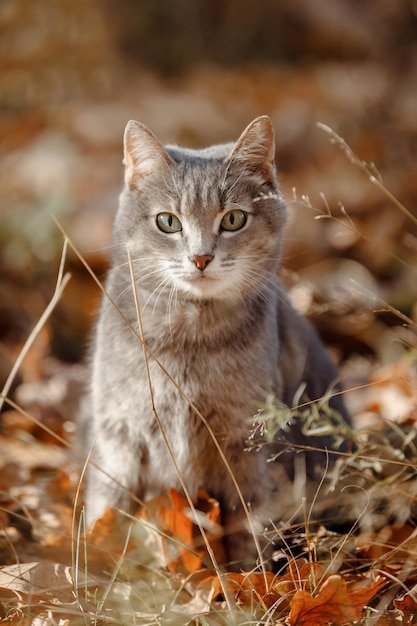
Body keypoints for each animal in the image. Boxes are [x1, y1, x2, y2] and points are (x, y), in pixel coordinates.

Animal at [83, 116, 348, 564]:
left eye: (233, 219)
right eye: (168, 222)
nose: (201, 257)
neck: (188, 339)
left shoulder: (249, 443)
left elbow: (248, 520)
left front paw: (247, 577)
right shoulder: (120, 435)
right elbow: (108, 512)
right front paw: (93, 570)